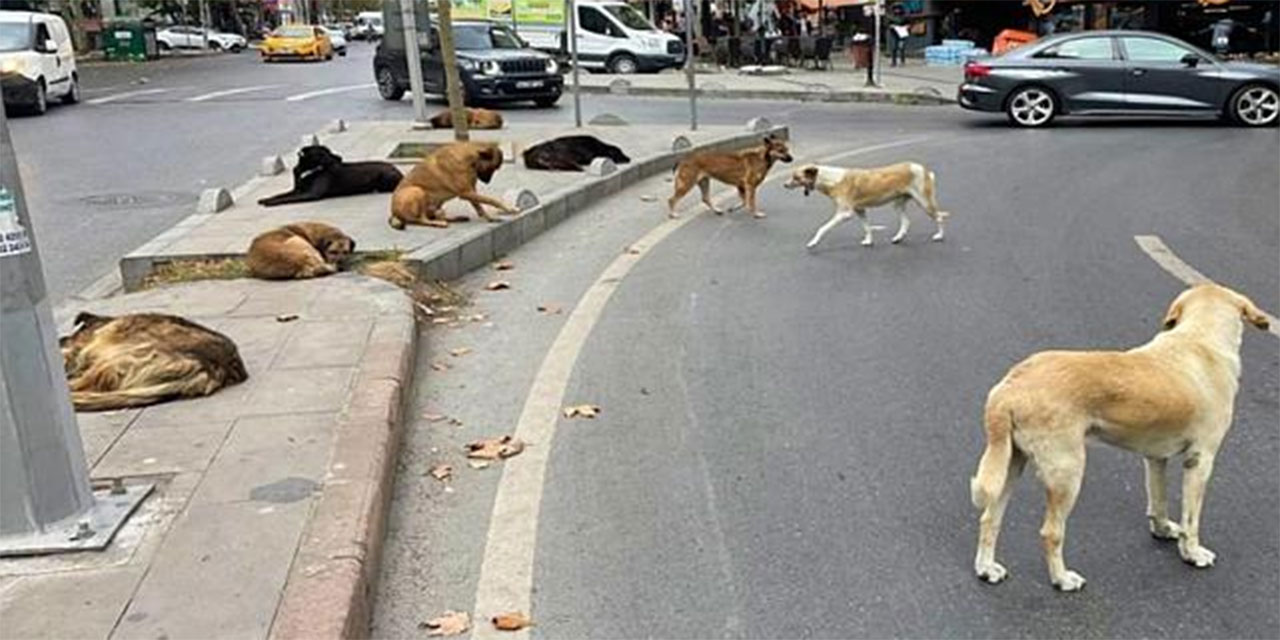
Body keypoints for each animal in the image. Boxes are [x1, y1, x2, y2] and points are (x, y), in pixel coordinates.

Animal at [257, 145, 401, 207]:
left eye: (328, 151)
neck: (310, 170)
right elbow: (280, 195)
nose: (340, 157)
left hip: (385, 177)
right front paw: (265, 199)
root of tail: (397, 169)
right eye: (322, 153)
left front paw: (270, 203)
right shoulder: (297, 190)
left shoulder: (310, 194)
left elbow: (286, 199)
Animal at [386, 140, 517, 230]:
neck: (469, 158)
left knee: (436, 215)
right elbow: (492, 200)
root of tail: (393, 213)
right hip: (417, 190)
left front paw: (489, 217)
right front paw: (508, 209)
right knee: (421, 220)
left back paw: (455, 218)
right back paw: (438, 223)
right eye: (493, 168)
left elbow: (479, 206)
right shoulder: (466, 192)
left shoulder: (471, 191)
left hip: (436, 204)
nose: (488, 182)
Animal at [778, 161, 952, 248]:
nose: (784, 185)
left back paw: (939, 236)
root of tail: (923, 169)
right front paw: (869, 241)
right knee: (906, 221)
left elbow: (822, 228)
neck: (830, 179)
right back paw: (898, 237)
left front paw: (813, 242)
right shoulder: (859, 210)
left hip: (924, 202)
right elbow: (867, 227)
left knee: (939, 217)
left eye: (796, 177)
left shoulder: (845, 213)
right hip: (898, 204)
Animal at [967, 282, 1269, 591]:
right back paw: (1062, 579)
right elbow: (1191, 519)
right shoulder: (1201, 460)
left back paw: (986, 569)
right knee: (1050, 532)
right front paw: (1192, 553)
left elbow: (1158, 501)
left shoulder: (1155, 458)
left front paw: (1162, 530)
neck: (1199, 338)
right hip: (1067, 473)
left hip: (1010, 465)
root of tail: (1009, 388)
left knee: (989, 518)